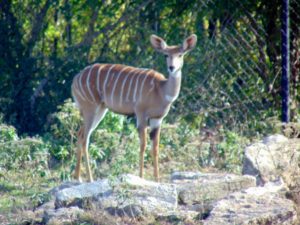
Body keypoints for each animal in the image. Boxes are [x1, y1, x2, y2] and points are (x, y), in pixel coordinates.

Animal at [72, 33, 198, 182]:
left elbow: (155, 148)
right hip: (90, 108)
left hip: (100, 109)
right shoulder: (141, 115)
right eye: (165, 55)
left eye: (180, 54)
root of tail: (75, 79)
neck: (161, 90)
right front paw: (141, 176)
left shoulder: (157, 120)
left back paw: (78, 177)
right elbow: (143, 145)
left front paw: (157, 179)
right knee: (85, 138)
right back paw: (89, 178)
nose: (171, 67)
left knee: (80, 134)